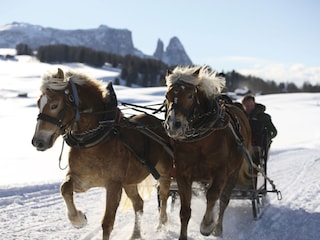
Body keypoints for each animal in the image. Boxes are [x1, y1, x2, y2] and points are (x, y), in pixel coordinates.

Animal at [30, 68, 172, 240]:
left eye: (54, 105)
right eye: (38, 103)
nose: (38, 141)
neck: (96, 139)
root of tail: (159, 123)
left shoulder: (113, 185)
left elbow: (107, 223)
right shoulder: (83, 180)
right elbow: (65, 188)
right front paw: (78, 219)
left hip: (164, 173)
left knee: (163, 197)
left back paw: (161, 225)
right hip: (129, 182)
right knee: (138, 204)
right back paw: (135, 235)